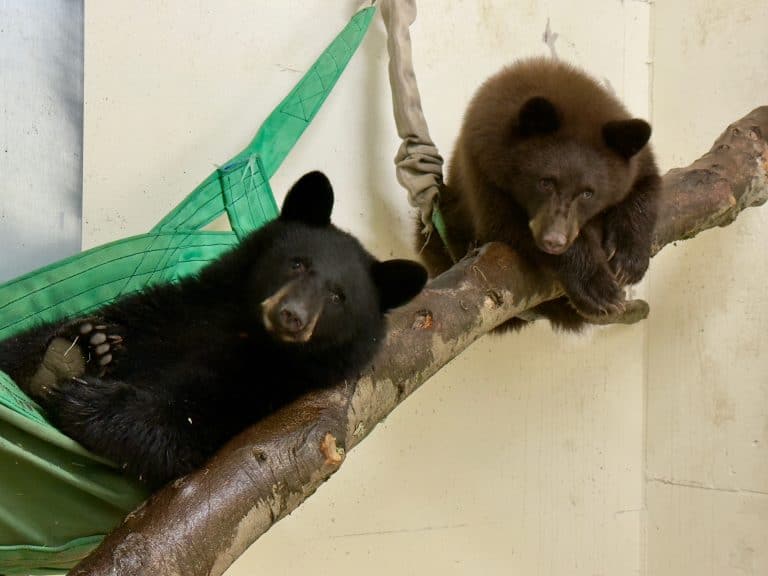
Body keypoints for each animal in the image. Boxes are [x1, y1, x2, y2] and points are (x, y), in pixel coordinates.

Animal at [0, 170, 428, 488]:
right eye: (298, 263)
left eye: (339, 296)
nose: (292, 316)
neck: (245, 330)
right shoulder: (177, 312)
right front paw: (78, 347)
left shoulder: (264, 390)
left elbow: (186, 427)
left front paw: (90, 401)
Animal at [417, 56, 661, 331]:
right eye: (545, 182)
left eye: (588, 193)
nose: (554, 241)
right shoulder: (483, 170)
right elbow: (505, 225)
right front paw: (598, 289)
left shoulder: (637, 161)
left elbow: (648, 186)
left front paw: (628, 258)